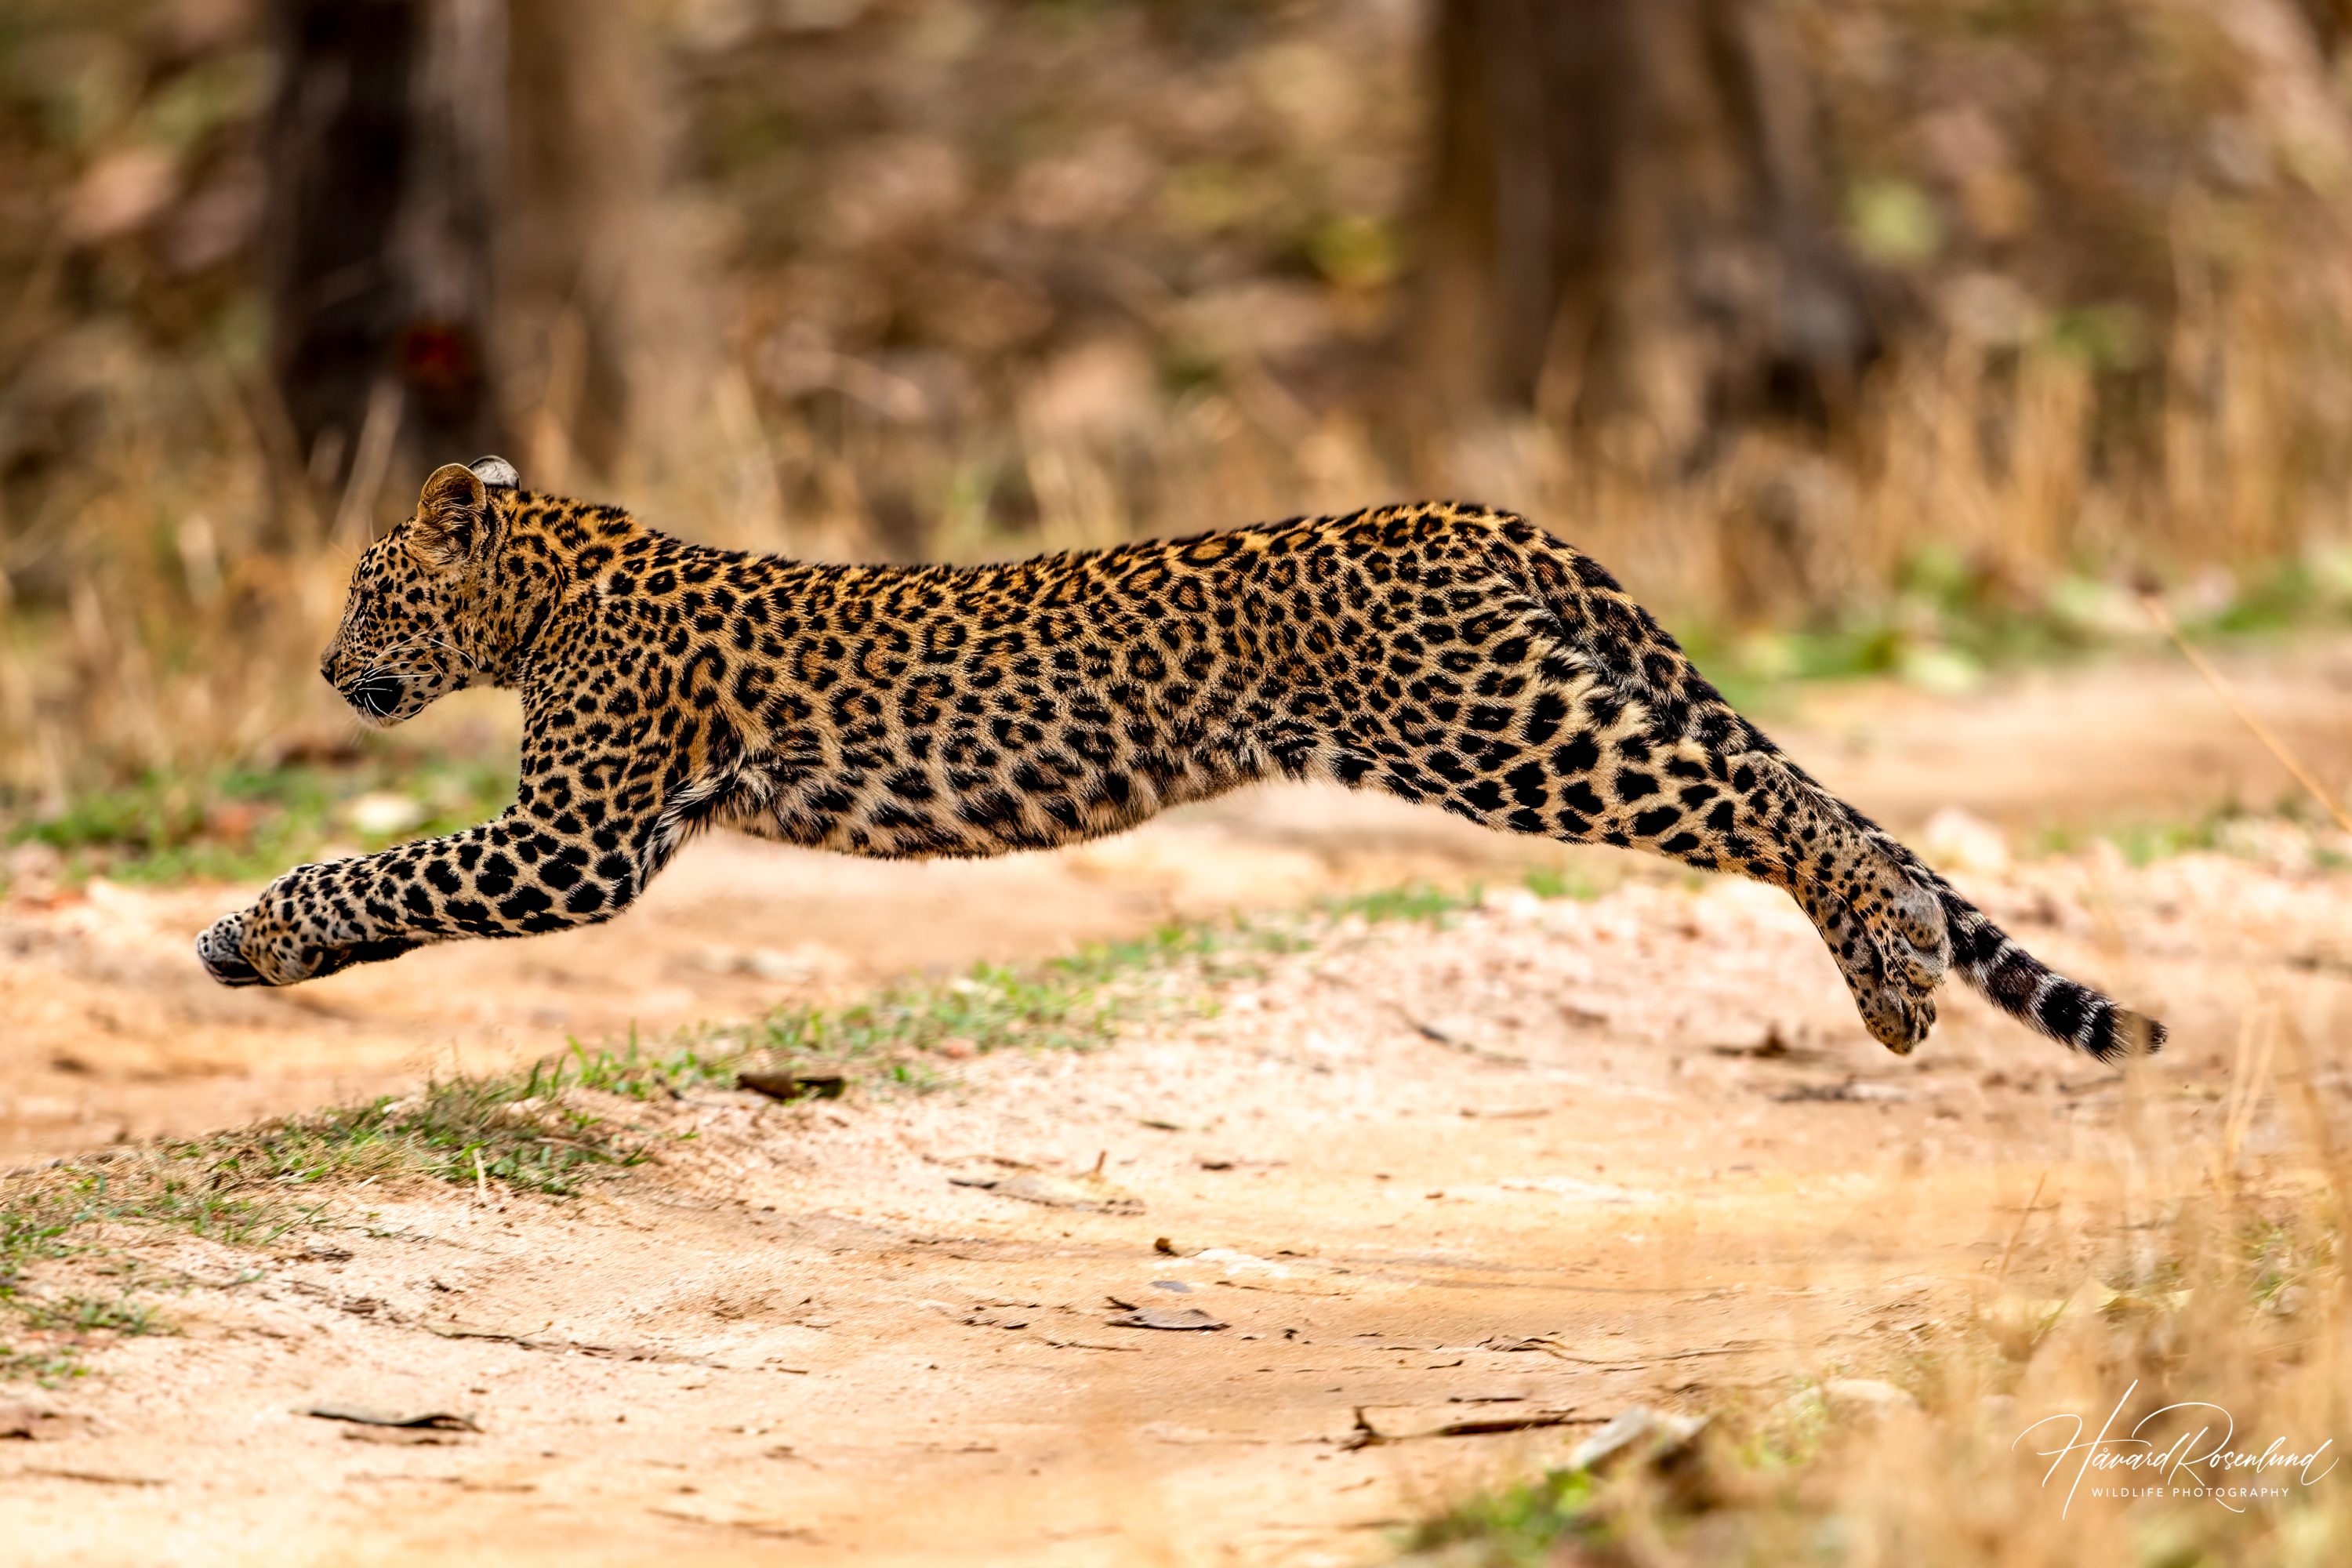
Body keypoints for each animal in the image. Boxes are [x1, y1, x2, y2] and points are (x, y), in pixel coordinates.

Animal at [197, 457, 2165, 1062]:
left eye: (368, 586)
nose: (328, 670)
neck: (556, 578)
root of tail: (1465, 509)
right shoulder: (583, 833)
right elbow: (409, 872)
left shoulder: (578, 834)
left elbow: (394, 868)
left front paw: (250, 936)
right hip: (1555, 703)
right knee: (1831, 803)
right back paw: (1898, 959)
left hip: (1505, 728)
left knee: (1768, 800)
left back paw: (1891, 975)